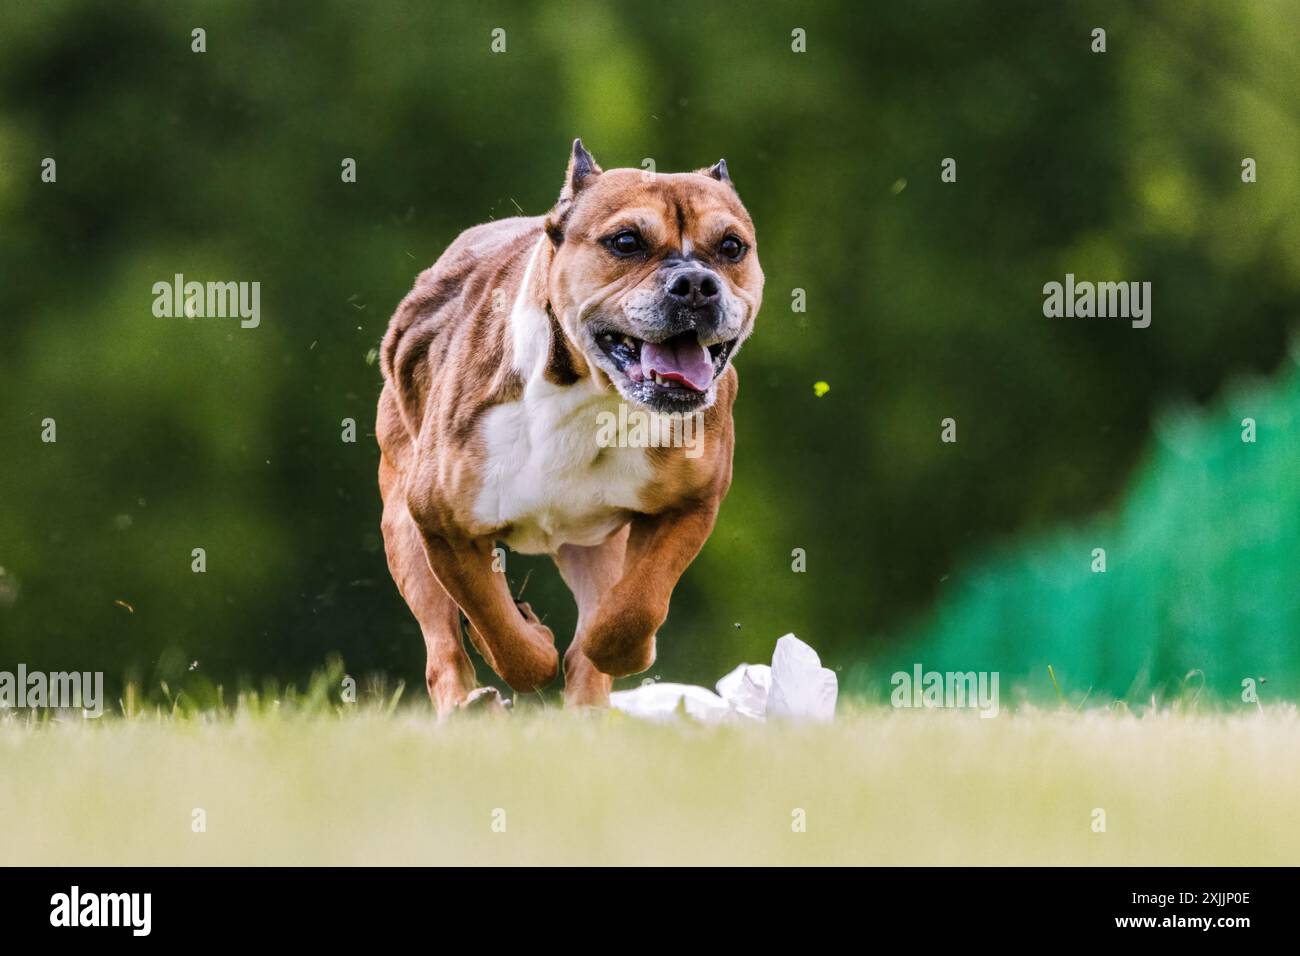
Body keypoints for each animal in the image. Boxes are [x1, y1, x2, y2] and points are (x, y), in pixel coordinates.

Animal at [377, 138, 759, 712]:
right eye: (626, 241)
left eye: (732, 247)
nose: (695, 282)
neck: (594, 395)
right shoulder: (441, 523)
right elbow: (497, 627)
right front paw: (530, 641)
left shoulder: (690, 503)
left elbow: (634, 606)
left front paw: (622, 648)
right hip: (402, 526)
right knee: (442, 645)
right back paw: (471, 701)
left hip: (597, 543)